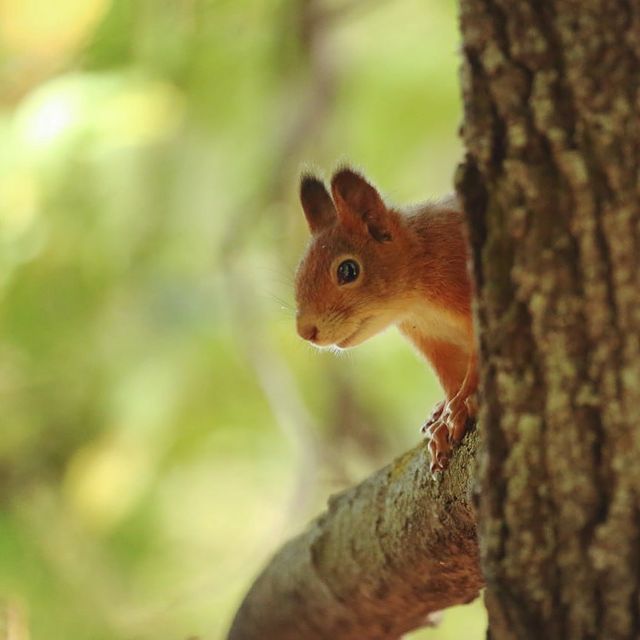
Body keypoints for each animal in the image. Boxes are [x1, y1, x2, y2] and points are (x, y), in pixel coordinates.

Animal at [294, 167, 477, 472]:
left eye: (348, 270)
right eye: (299, 273)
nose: (305, 331)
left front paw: (464, 401)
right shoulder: (433, 340)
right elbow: (449, 376)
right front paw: (446, 418)